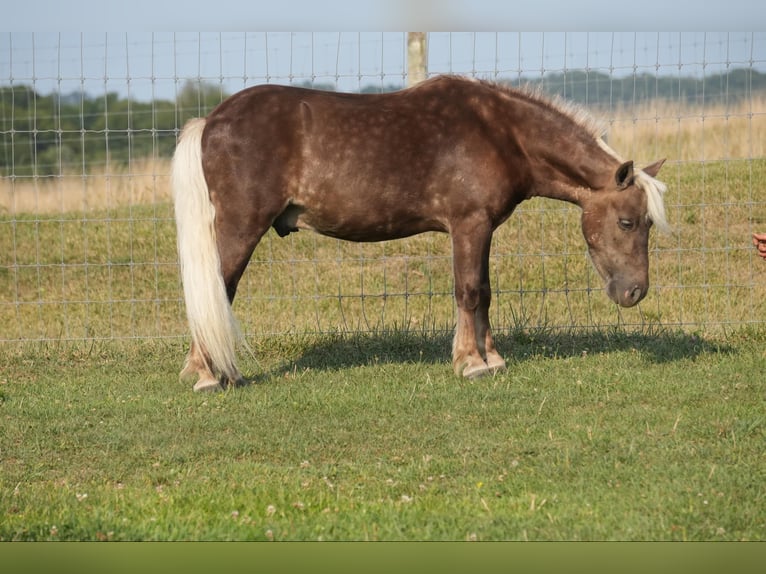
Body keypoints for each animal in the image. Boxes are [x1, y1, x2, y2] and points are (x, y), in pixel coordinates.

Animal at [172, 74, 664, 394]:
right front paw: (471, 363)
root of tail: (210, 121)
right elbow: (469, 291)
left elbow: (484, 293)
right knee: (218, 289)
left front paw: (492, 357)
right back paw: (209, 374)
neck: (500, 132)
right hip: (240, 227)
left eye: (648, 223)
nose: (635, 292)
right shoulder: (469, 224)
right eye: (627, 221)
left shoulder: (481, 230)